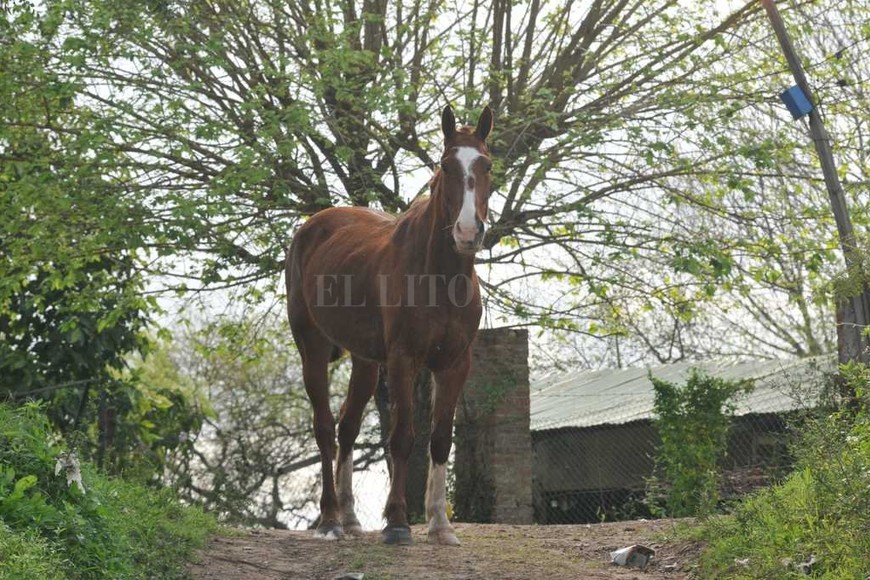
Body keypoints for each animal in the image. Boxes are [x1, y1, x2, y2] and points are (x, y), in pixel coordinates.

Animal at [285, 105, 493, 545]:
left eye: (486, 164)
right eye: (445, 165)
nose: (468, 231)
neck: (440, 276)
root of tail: (311, 227)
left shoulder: (455, 364)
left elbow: (440, 439)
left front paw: (439, 524)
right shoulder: (403, 360)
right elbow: (401, 438)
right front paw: (397, 522)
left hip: (365, 362)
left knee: (347, 427)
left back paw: (349, 517)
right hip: (312, 350)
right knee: (325, 428)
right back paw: (330, 520)